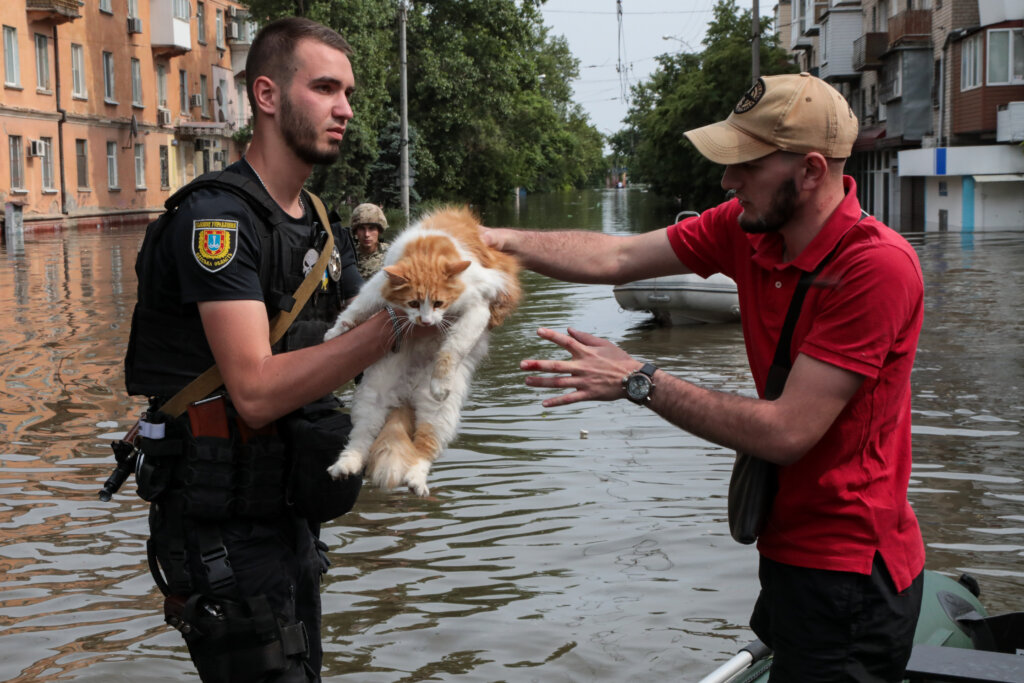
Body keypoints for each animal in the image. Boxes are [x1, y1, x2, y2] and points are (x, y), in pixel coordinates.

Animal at [323, 205, 524, 493]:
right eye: (413, 303)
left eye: (439, 303)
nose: (426, 322)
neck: (427, 250)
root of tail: (408, 392)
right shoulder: (377, 286)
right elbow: (357, 309)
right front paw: (334, 333)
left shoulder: (478, 309)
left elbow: (452, 348)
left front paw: (440, 381)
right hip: (372, 397)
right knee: (361, 440)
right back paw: (344, 466)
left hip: (439, 414)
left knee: (423, 450)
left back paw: (416, 482)